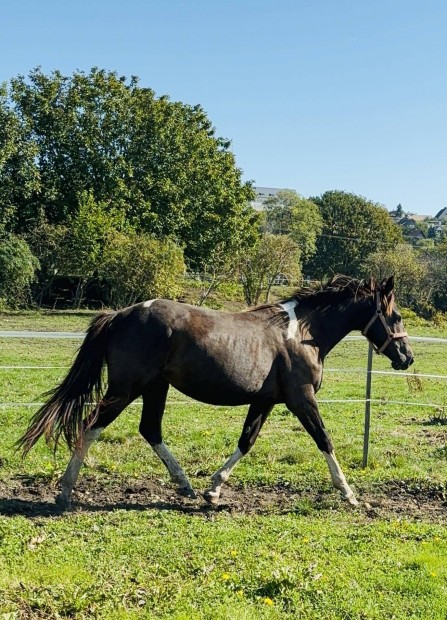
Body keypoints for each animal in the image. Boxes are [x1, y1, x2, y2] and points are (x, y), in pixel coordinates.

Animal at [18, 276, 416, 508]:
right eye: (395, 316)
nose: (407, 357)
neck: (302, 333)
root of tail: (118, 314)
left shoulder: (265, 401)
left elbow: (246, 440)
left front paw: (213, 489)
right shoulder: (301, 398)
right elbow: (324, 440)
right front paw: (349, 494)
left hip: (155, 387)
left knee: (150, 430)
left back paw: (186, 487)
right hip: (126, 388)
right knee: (91, 426)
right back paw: (65, 489)